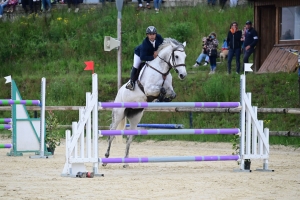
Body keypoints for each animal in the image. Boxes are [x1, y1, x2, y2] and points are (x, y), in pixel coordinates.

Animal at [104, 38, 186, 167]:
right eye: (176, 56)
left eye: (185, 56)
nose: (183, 75)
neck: (162, 71)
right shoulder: (148, 89)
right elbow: (160, 90)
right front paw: (158, 98)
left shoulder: (170, 89)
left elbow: (172, 94)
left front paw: (162, 99)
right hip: (118, 114)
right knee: (111, 134)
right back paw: (106, 158)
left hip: (135, 116)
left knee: (129, 138)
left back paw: (125, 162)